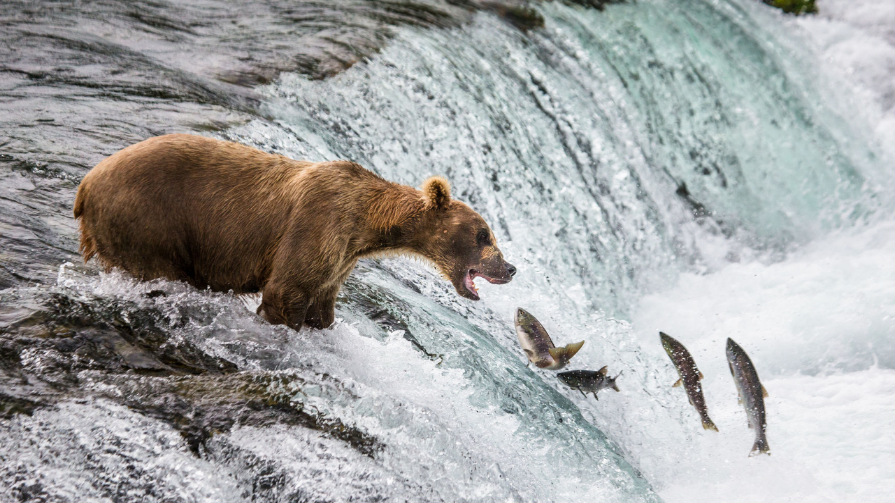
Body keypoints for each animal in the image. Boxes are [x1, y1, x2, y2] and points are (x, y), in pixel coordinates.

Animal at [75, 134, 520, 330]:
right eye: (484, 234)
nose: (510, 268)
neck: (367, 225)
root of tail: (85, 184)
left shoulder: (340, 260)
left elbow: (321, 305)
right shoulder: (317, 224)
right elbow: (286, 291)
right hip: (149, 221)